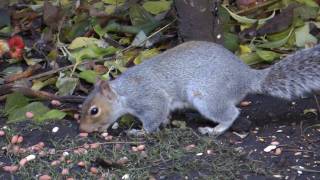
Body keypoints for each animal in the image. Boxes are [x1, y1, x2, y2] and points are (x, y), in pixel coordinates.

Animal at [79, 41, 320, 135]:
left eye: (94, 110)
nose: (82, 129)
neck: (124, 92)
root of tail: (247, 76)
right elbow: (164, 115)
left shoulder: (148, 98)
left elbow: (153, 117)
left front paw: (139, 132)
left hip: (207, 98)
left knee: (231, 113)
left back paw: (215, 130)